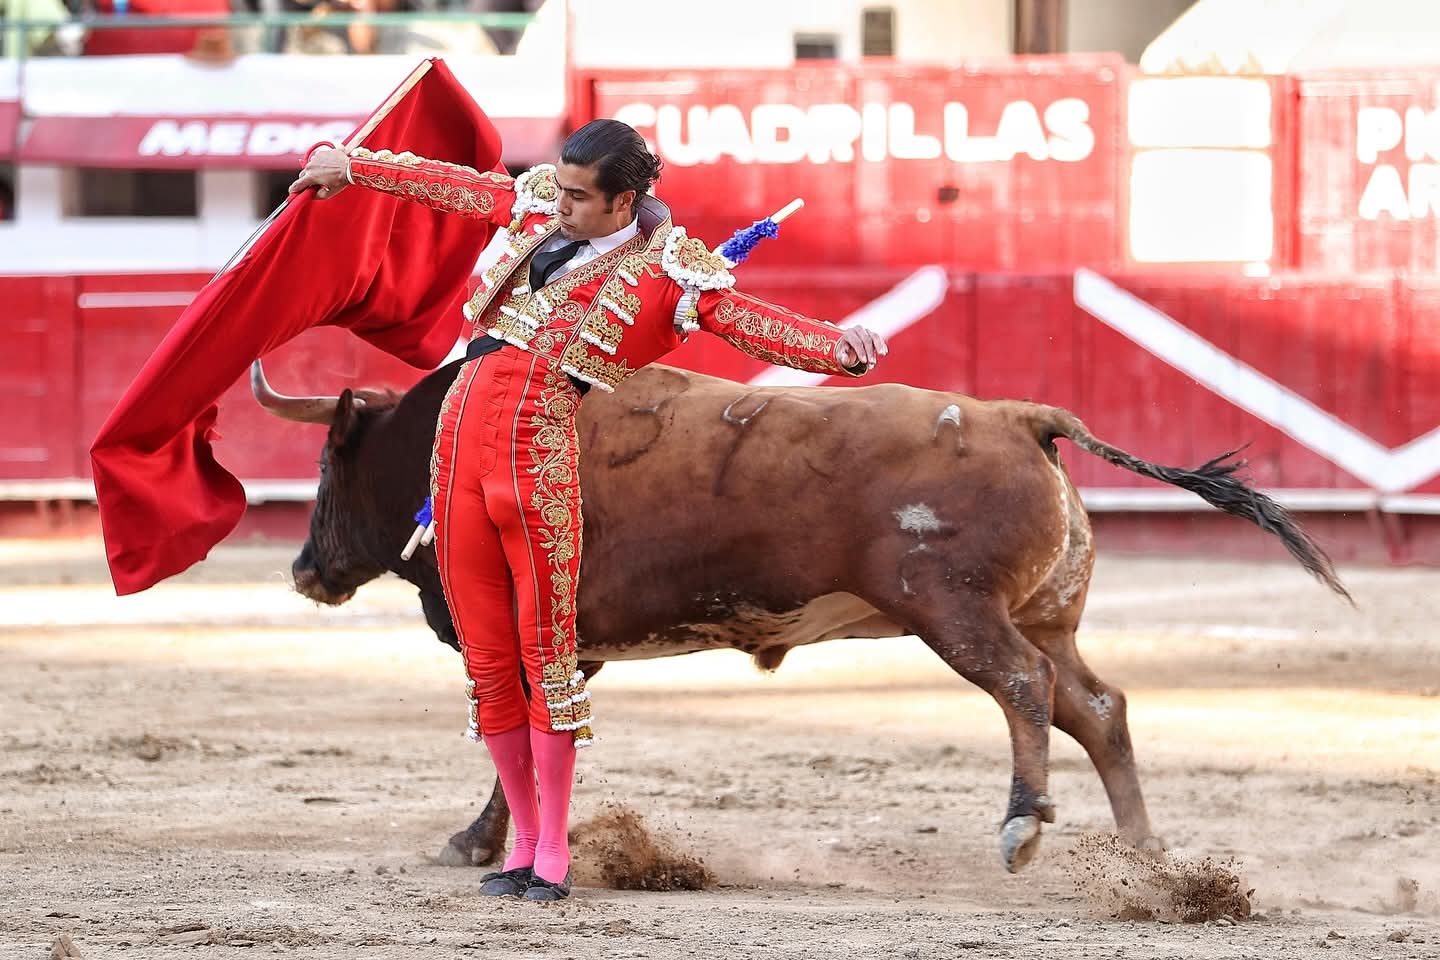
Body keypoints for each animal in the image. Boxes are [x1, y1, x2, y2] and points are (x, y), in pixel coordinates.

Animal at [252, 357, 1349, 875]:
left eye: (330, 465)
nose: (305, 570)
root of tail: (1018, 417)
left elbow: (510, 733)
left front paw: (478, 843)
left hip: (953, 609)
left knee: (1025, 689)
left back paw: (1021, 826)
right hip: (1047, 614)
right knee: (1098, 705)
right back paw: (1142, 855)